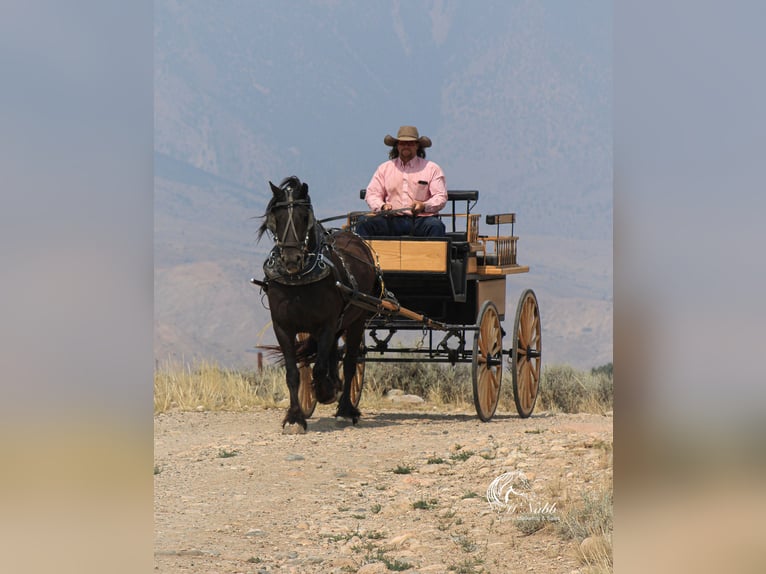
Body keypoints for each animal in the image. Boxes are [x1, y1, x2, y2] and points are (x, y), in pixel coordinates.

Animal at [256, 177, 380, 432]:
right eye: (276, 217)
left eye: (305, 216)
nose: (291, 259)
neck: (299, 278)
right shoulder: (283, 327)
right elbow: (294, 372)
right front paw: (294, 418)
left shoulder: (327, 324)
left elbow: (320, 367)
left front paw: (325, 392)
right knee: (333, 354)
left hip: (357, 320)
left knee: (350, 361)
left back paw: (345, 409)